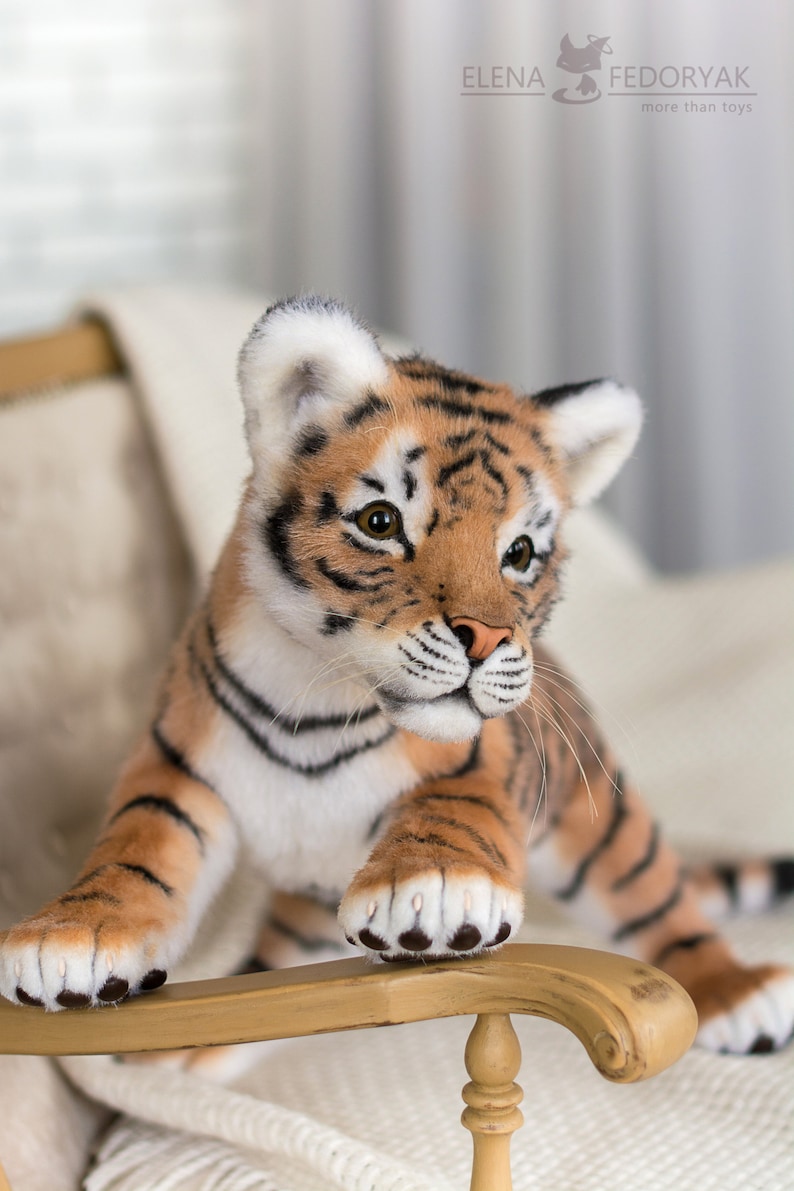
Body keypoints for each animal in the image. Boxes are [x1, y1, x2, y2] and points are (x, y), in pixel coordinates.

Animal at [1, 295, 792, 1060]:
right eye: (381, 522)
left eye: (521, 552)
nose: (489, 639)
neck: (313, 697)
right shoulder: (175, 765)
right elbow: (134, 852)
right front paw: (68, 941)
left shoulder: (478, 760)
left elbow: (451, 810)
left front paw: (432, 894)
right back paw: (175, 1061)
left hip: (597, 812)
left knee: (659, 897)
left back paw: (738, 994)